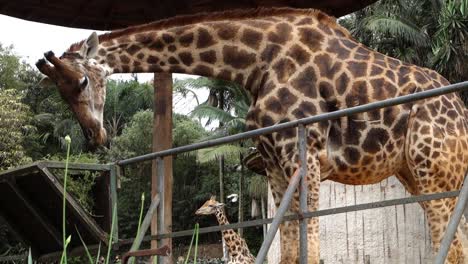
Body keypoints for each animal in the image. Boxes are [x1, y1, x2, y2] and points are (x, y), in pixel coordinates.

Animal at [35, 7, 468, 262]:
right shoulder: (276, 164)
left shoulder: (304, 155)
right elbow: (290, 253)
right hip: (417, 173)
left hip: (434, 170)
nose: (95, 136)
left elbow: (310, 251)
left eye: (82, 81)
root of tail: (461, 113)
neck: (256, 62)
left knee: (448, 244)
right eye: (61, 93)